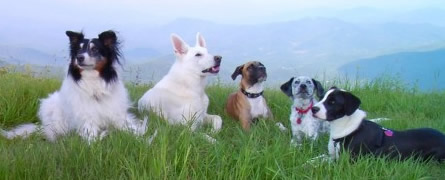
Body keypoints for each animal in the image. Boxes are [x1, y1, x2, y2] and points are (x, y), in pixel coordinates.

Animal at [0, 30, 148, 143]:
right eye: (78, 50)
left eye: (94, 49)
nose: (79, 57)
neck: (92, 81)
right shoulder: (87, 120)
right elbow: (92, 138)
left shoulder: (118, 116)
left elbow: (133, 130)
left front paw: (142, 139)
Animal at [310, 87, 444, 162]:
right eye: (321, 98)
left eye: (332, 102)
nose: (313, 109)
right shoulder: (332, 156)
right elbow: (314, 160)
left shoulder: (346, 161)